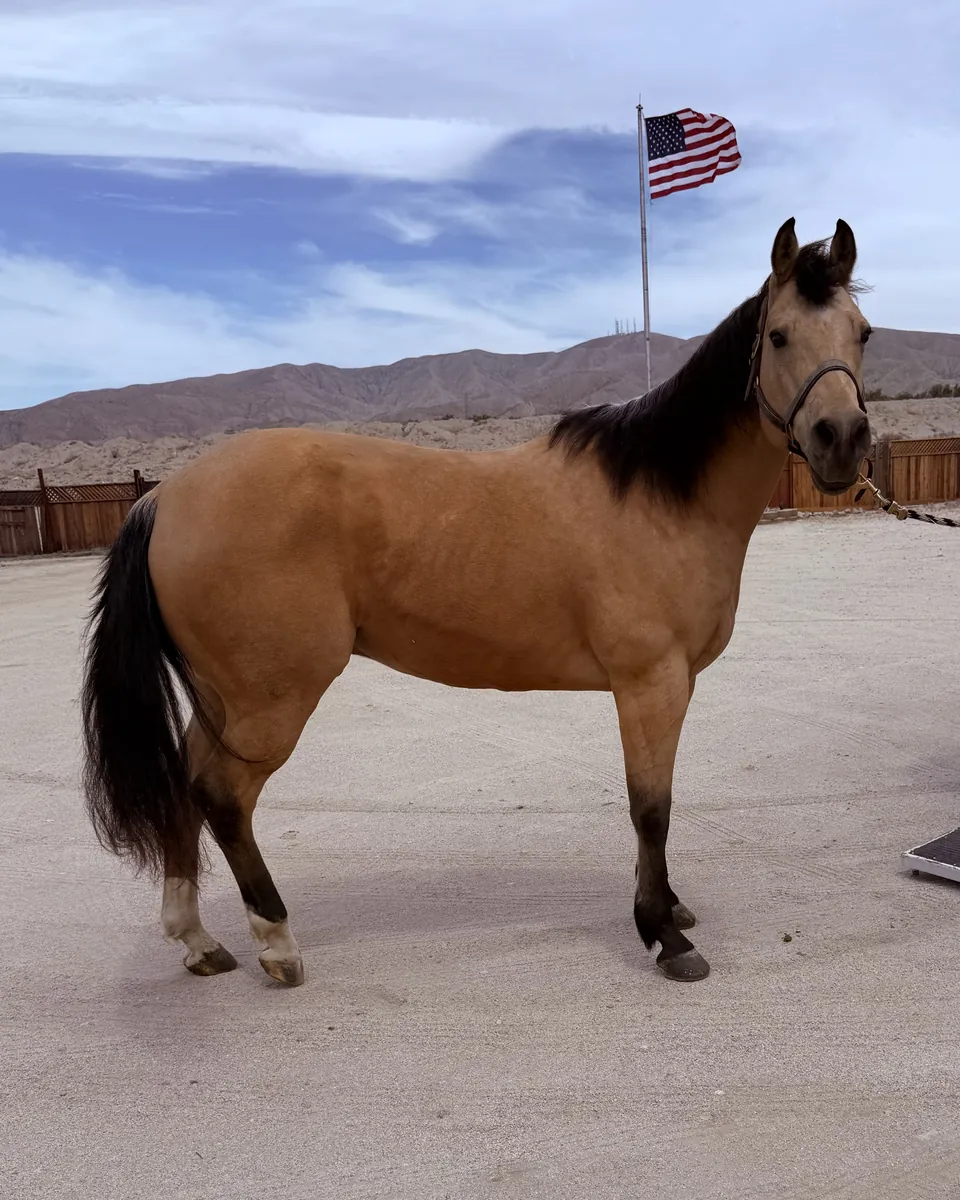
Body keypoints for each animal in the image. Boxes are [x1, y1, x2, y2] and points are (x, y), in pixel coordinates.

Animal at [82, 217, 872, 987]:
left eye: (862, 333)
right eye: (779, 336)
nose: (843, 439)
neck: (661, 496)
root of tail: (164, 496)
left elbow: (659, 803)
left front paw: (670, 906)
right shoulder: (651, 684)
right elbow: (652, 808)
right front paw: (662, 933)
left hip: (226, 698)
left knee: (184, 785)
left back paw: (198, 941)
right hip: (270, 701)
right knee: (223, 797)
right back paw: (277, 944)